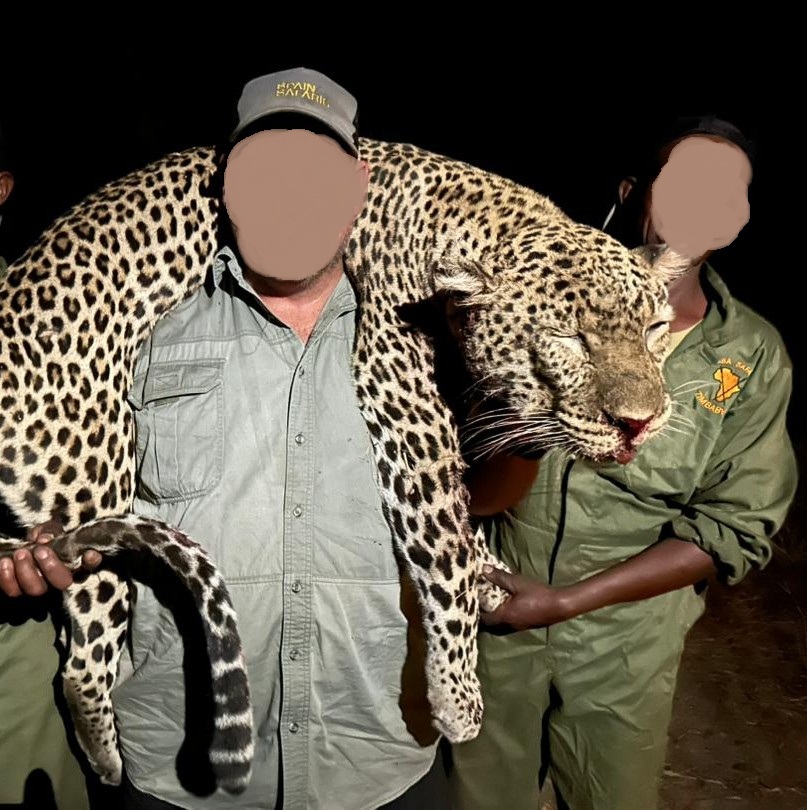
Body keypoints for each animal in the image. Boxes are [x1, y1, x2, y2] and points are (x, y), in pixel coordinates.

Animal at [0, 136, 688, 791]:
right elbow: (446, 555)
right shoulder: (404, 401)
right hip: (94, 474)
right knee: (80, 661)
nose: (640, 421)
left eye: (656, 329)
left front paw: (490, 575)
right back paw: (108, 760)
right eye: (569, 338)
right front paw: (457, 699)